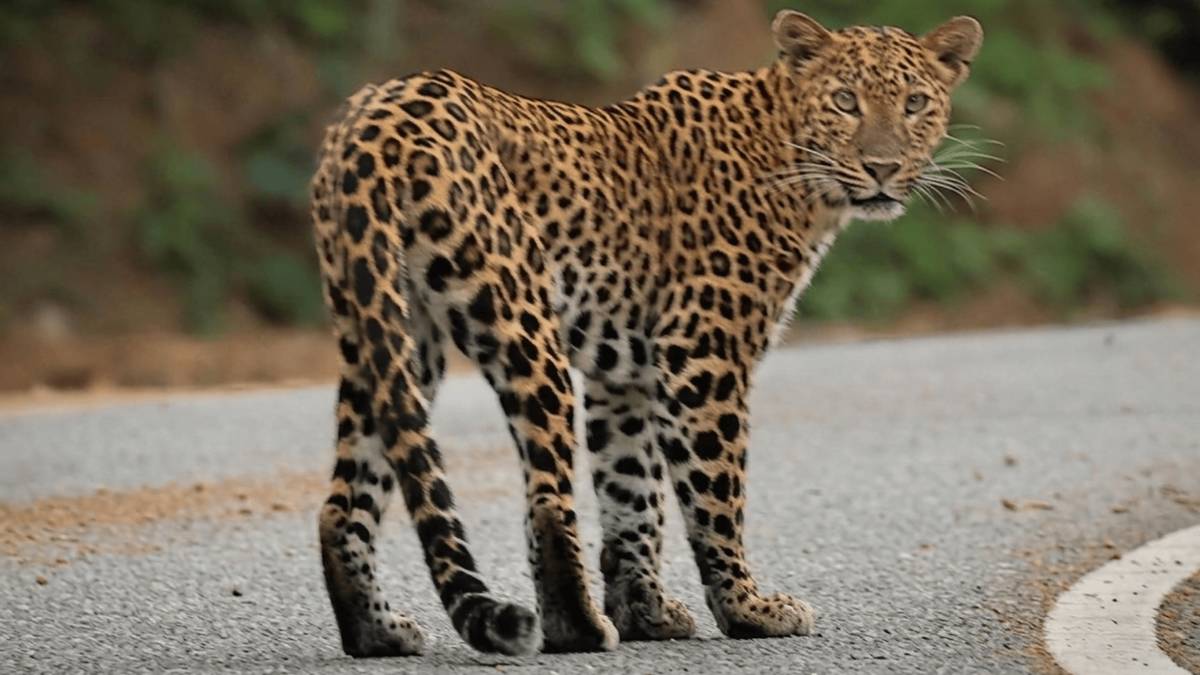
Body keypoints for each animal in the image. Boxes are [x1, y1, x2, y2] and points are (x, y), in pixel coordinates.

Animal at [309, 10, 983, 657]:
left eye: (915, 103)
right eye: (845, 100)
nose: (882, 167)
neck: (799, 173)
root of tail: (376, 115)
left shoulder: (623, 374)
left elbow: (633, 495)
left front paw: (648, 614)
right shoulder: (703, 355)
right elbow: (715, 494)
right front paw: (748, 610)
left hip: (390, 333)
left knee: (344, 500)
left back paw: (377, 634)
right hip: (521, 322)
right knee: (547, 501)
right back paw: (578, 629)